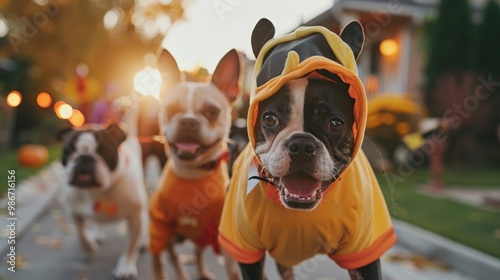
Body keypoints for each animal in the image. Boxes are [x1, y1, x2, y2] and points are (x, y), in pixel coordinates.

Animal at [58, 123, 147, 278]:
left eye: (104, 150)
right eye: (68, 150)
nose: (85, 157)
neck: (96, 191)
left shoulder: (135, 216)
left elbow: (130, 245)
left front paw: (125, 266)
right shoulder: (74, 213)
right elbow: (81, 235)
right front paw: (89, 249)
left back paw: (142, 241)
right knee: (97, 222)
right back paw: (97, 235)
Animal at [148, 48, 242, 280]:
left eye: (212, 111)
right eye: (171, 109)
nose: (188, 122)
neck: (194, 174)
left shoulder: (221, 232)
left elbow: (233, 271)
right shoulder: (159, 227)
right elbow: (160, 262)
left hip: (205, 236)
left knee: (198, 252)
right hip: (171, 236)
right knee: (171, 256)